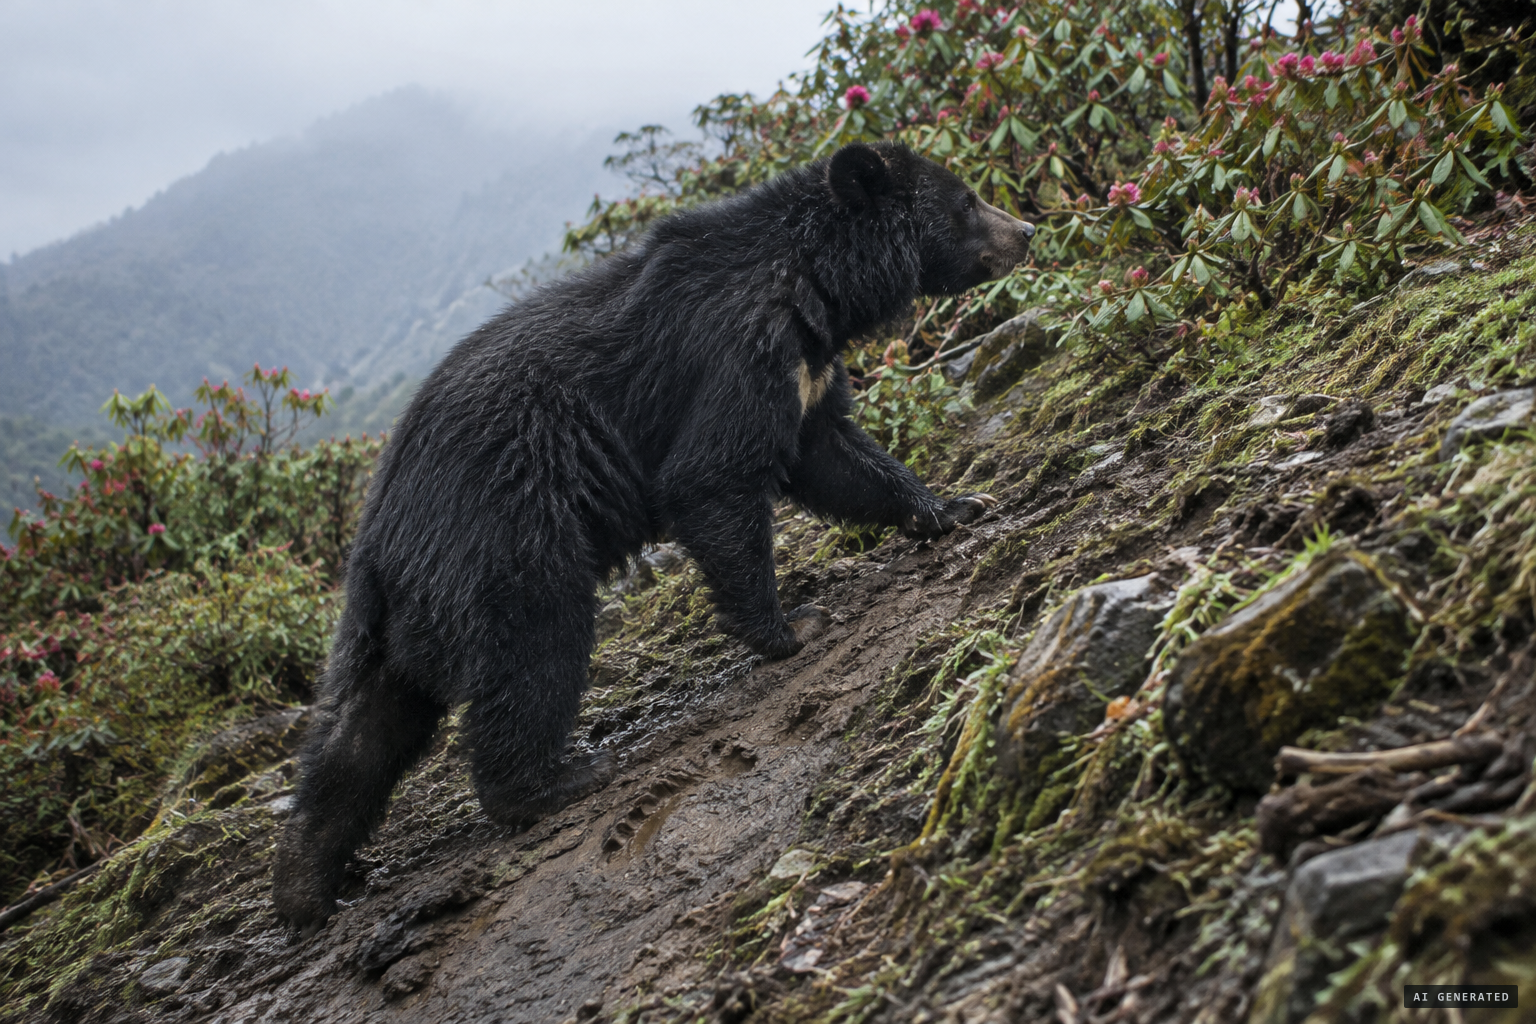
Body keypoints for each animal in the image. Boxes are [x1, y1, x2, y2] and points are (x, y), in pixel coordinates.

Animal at [271, 141, 1033, 931]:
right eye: (968, 200)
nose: (1029, 232)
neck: (818, 284)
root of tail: (377, 535)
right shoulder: (742, 348)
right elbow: (711, 476)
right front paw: (793, 626)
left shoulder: (805, 367)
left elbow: (833, 455)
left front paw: (954, 505)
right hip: (505, 538)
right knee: (535, 648)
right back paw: (557, 780)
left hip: (407, 607)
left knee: (362, 730)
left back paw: (307, 883)